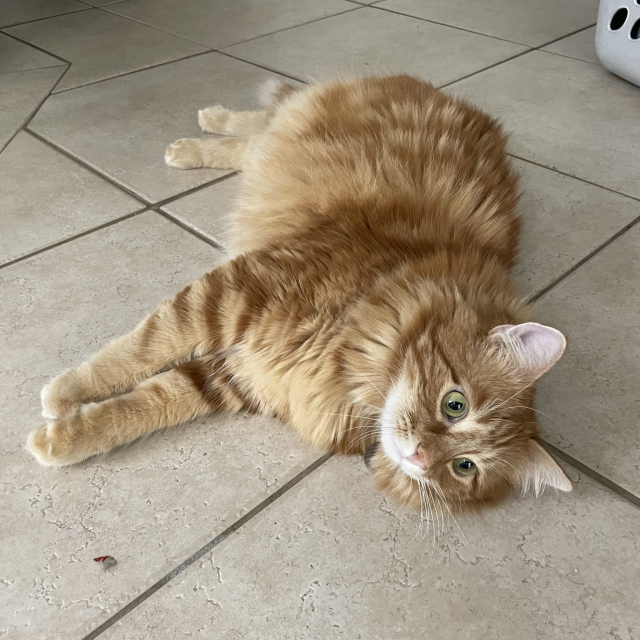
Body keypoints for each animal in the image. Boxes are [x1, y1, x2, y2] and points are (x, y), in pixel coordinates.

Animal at [27, 75, 572, 512]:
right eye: (454, 405)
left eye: (464, 467)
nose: (419, 456)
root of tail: (457, 101)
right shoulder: (230, 295)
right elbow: (133, 352)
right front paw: (65, 392)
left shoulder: (240, 373)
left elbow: (143, 405)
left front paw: (62, 440)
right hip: (294, 127)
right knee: (266, 117)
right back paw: (202, 130)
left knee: (255, 138)